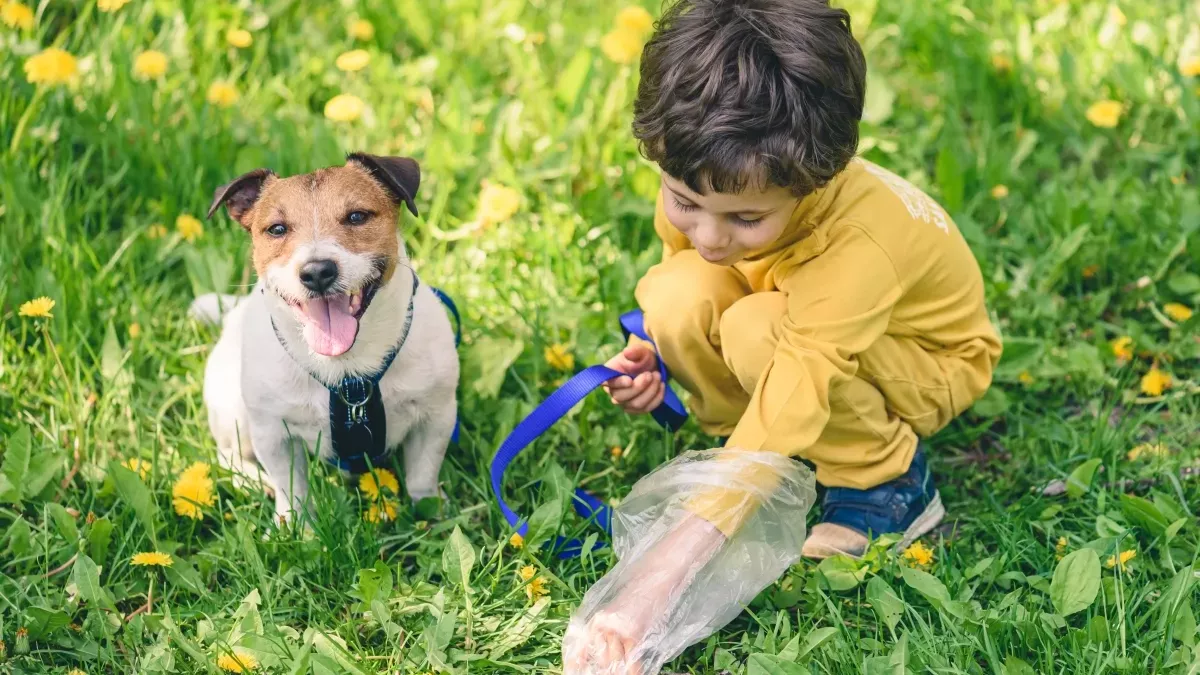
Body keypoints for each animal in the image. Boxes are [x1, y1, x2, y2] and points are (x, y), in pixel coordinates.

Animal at [192, 152, 458, 521]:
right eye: (277, 229)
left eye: (357, 216)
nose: (317, 272)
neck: (347, 370)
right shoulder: (274, 435)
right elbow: (292, 490)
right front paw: (295, 525)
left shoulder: (435, 417)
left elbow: (423, 474)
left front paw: (431, 514)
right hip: (233, 410)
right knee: (228, 455)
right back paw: (254, 481)